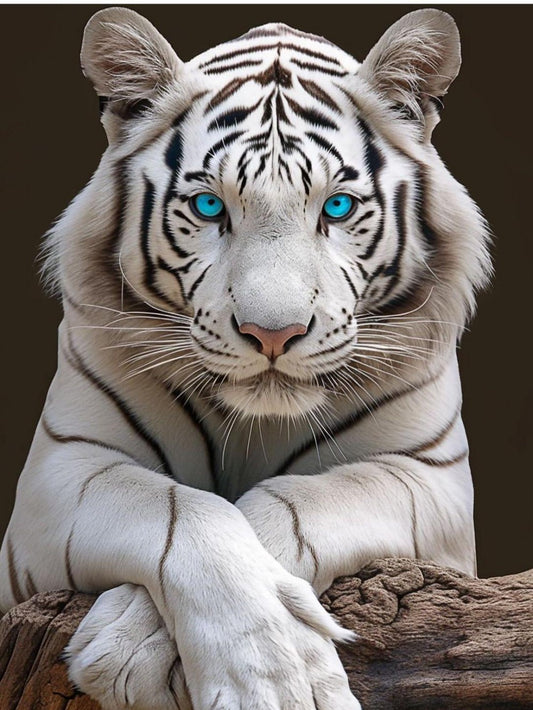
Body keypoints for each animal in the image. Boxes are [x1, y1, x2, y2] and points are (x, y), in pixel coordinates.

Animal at [0, 7, 491, 710]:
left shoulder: (429, 479)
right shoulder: (59, 473)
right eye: (210, 206)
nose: (273, 334)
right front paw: (265, 675)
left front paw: (136, 641)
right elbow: (181, 512)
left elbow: (297, 503)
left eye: (337, 206)